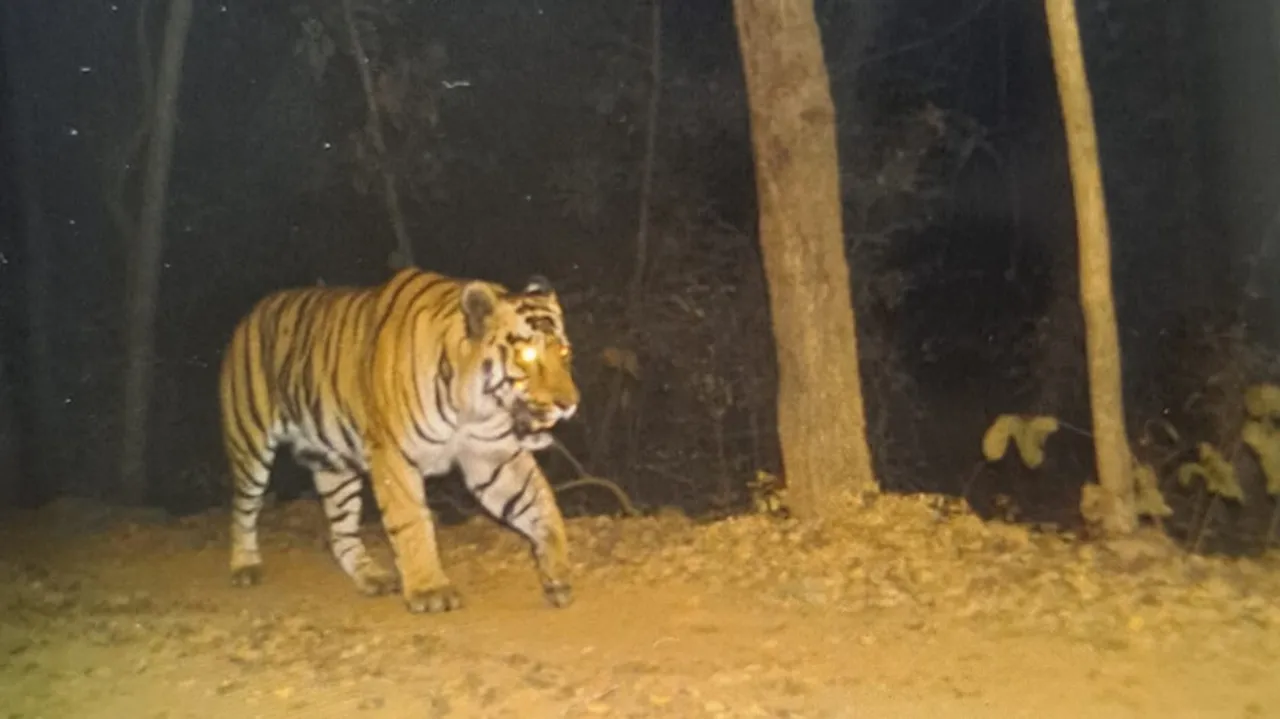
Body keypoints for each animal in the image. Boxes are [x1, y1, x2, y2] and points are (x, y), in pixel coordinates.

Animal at [218, 266, 581, 614]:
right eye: (528, 355)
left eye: (564, 351)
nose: (570, 404)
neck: (473, 408)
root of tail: (252, 312)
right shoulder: (394, 454)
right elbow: (412, 522)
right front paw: (430, 591)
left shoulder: (492, 455)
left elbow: (541, 503)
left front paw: (558, 573)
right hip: (250, 442)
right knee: (242, 509)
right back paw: (244, 566)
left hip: (335, 465)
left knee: (341, 530)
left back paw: (371, 577)